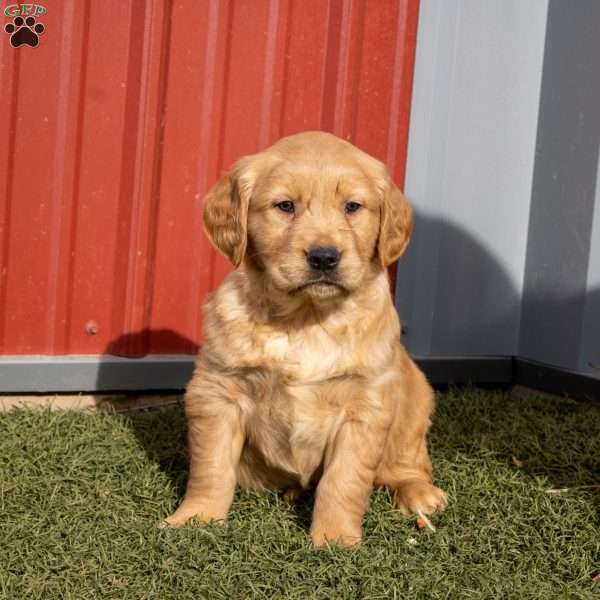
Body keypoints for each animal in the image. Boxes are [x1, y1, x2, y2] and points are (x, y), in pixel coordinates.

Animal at [164, 134, 446, 548]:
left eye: (352, 207)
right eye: (285, 206)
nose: (324, 257)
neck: (306, 318)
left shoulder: (365, 406)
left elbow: (343, 481)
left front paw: (335, 538)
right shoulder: (217, 391)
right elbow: (211, 466)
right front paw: (195, 518)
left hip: (415, 393)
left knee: (406, 460)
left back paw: (418, 492)